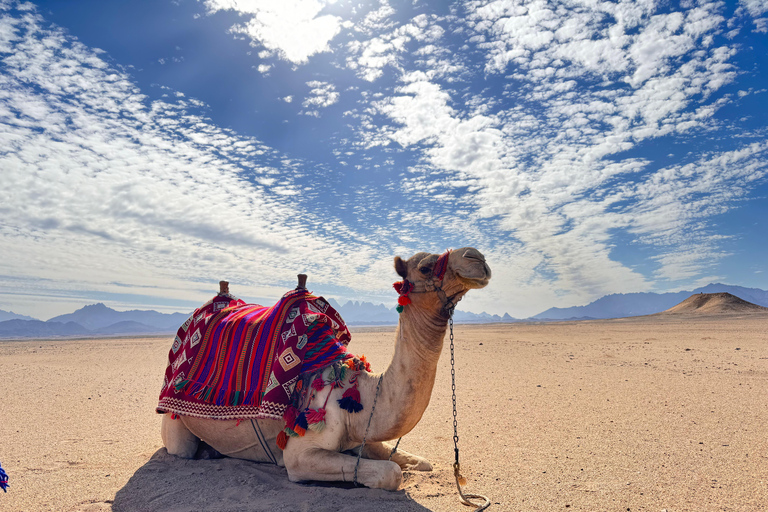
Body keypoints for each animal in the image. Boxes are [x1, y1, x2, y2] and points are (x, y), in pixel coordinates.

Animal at [161, 247, 491, 489]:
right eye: (424, 267)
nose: (478, 258)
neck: (356, 393)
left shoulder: (361, 436)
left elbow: (419, 462)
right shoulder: (299, 455)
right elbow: (390, 473)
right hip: (174, 423)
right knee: (179, 448)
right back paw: (205, 451)